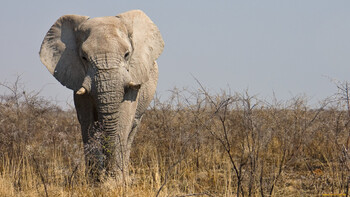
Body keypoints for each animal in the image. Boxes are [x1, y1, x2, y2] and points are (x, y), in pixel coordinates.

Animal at [39, 10, 165, 181]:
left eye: (127, 55)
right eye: (84, 57)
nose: (109, 174)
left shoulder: (133, 77)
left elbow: (124, 117)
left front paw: (116, 181)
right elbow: (87, 121)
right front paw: (95, 181)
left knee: (132, 128)